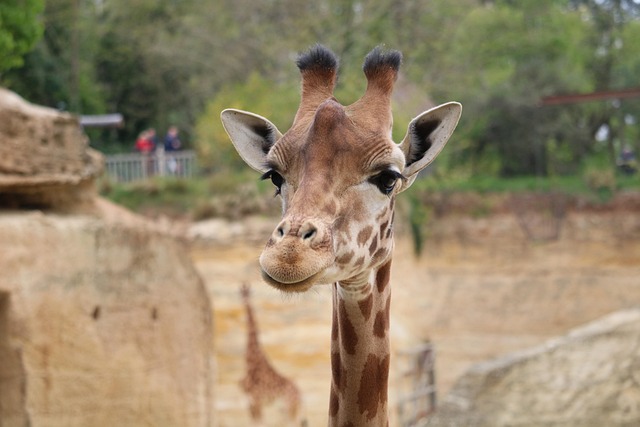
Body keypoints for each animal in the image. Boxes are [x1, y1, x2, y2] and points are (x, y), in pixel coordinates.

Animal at [239, 283, 304, 426]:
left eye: (248, 292)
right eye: (240, 292)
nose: (244, 300)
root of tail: (300, 394)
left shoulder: (256, 401)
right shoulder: (251, 402)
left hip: (290, 407)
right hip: (286, 410)